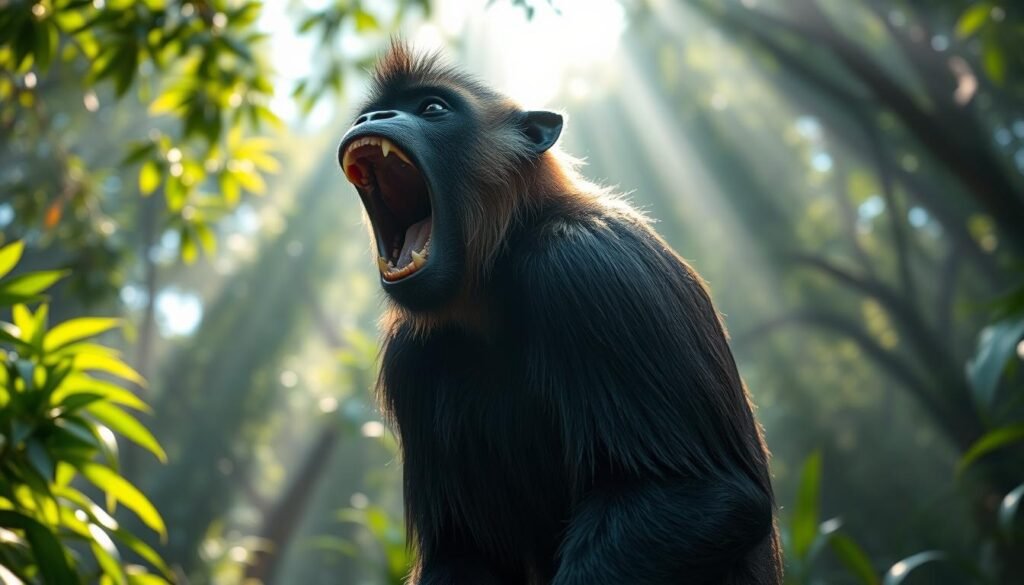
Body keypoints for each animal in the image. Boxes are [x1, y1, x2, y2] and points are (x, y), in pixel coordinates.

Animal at [338, 42, 782, 585]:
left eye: (432, 108)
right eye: (369, 114)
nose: (373, 119)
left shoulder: (586, 266)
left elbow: (702, 493)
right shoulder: (410, 359)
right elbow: (463, 553)